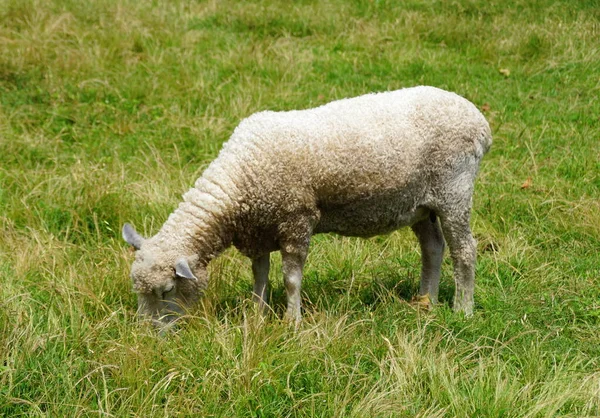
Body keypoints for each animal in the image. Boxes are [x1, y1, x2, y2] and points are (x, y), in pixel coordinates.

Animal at [122, 85, 492, 326]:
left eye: (168, 290)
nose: (147, 336)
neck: (239, 180)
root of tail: (479, 121)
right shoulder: (260, 228)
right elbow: (260, 275)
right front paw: (257, 316)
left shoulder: (296, 220)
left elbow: (290, 279)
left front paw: (292, 322)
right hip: (419, 203)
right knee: (433, 247)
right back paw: (425, 301)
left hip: (454, 191)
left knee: (464, 251)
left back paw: (463, 309)